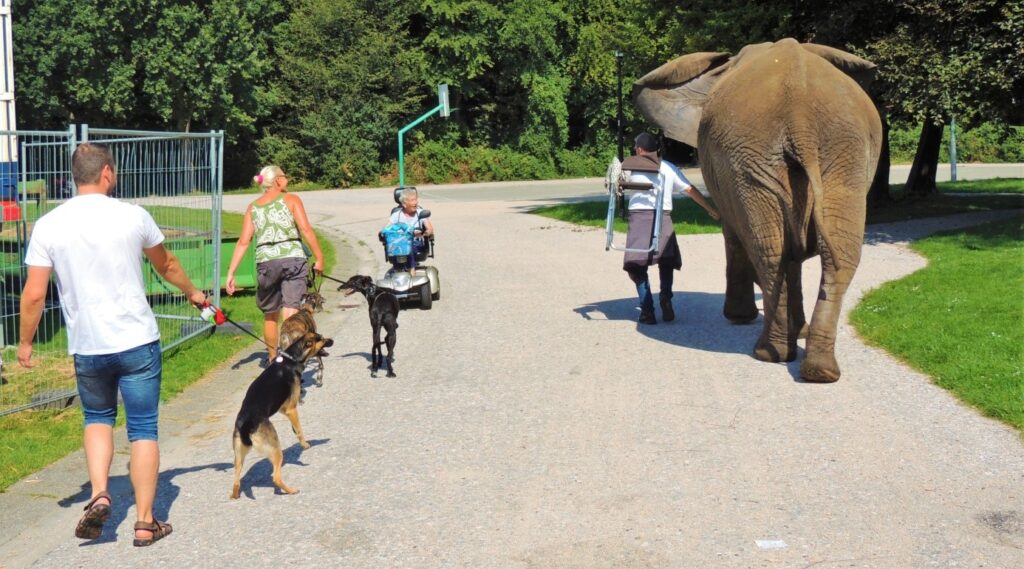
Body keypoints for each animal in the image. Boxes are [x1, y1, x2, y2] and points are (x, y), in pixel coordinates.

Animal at [230, 329, 333, 497]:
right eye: (321, 339)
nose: (332, 341)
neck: (291, 358)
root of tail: (245, 425)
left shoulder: (284, 410)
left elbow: (295, 428)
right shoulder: (291, 409)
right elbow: (299, 430)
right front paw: (305, 445)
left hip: (239, 456)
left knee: (236, 480)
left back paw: (235, 495)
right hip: (275, 450)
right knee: (276, 478)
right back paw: (291, 490)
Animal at [630, 37, 880, 380]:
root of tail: (800, 112)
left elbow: (737, 238)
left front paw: (740, 319)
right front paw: (794, 329)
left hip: (781, 157)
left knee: (772, 251)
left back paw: (772, 354)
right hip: (827, 154)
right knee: (825, 252)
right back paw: (815, 369)